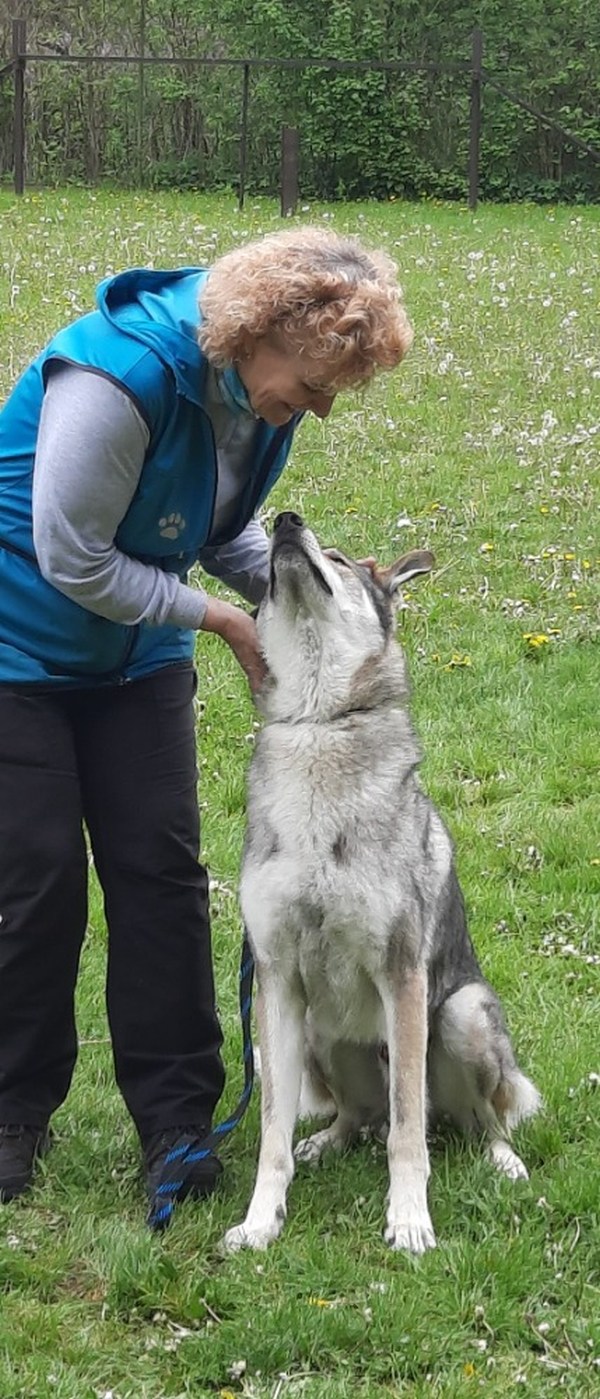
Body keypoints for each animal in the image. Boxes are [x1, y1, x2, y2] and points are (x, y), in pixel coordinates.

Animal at [223, 512, 537, 1259]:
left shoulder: (403, 973)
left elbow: (407, 1135)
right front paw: (261, 1220)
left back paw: (502, 1158)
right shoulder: (275, 980)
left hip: (460, 1013)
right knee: (359, 1116)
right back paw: (326, 1142)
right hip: (314, 1035)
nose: (284, 521)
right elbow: (273, 1134)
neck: (318, 727)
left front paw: (410, 1219)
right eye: (270, 577)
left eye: (338, 559)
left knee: (466, 1119)